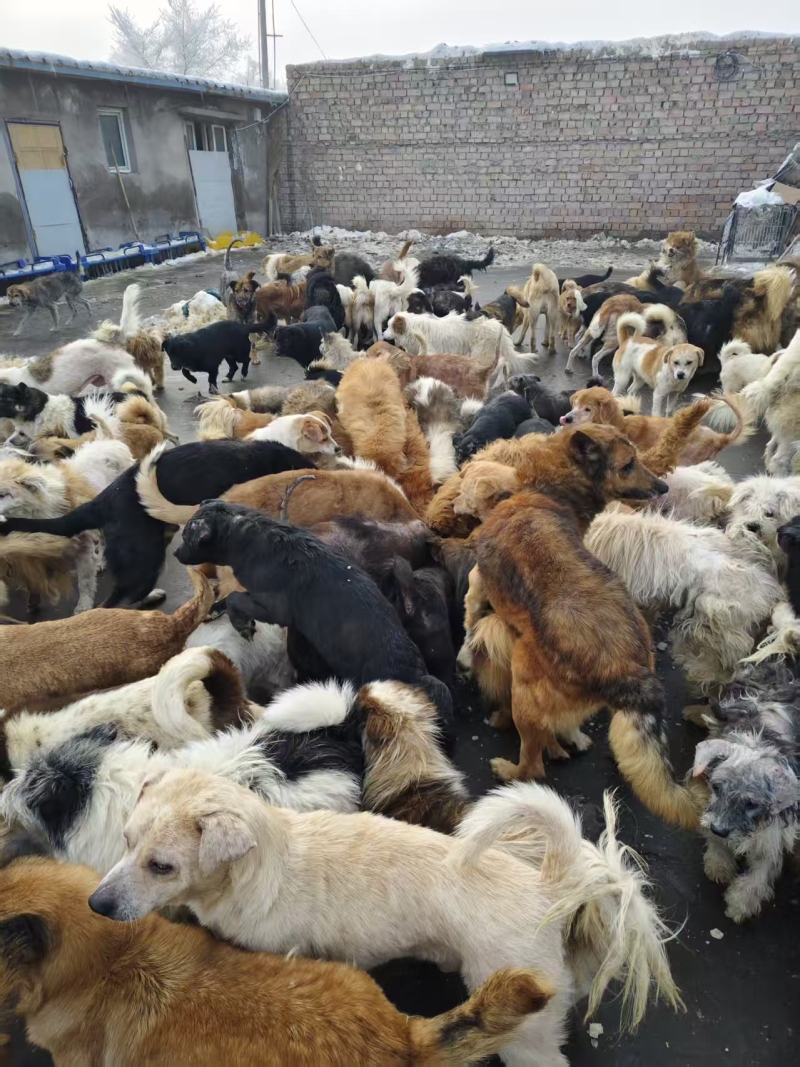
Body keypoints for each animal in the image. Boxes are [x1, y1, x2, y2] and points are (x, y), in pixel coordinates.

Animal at [90, 769, 679, 1066]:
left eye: (162, 866)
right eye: (126, 840)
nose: (97, 905)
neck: (264, 866)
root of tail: (548, 886)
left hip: (523, 1036)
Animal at [175, 501, 452, 718]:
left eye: (187, 536)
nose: (176, 553)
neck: (249, 535)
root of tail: (417, 676)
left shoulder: (276, 608)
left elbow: (236, 598)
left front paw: (243, 625)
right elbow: (230, 597)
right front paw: (214, 609)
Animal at [689, 664, 799, 922]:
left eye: (751, 803)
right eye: (716, 787)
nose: (719, 830)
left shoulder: (775, 836)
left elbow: (760, 874)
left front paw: (740, 904)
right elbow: (714, 840)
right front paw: (718, 863)